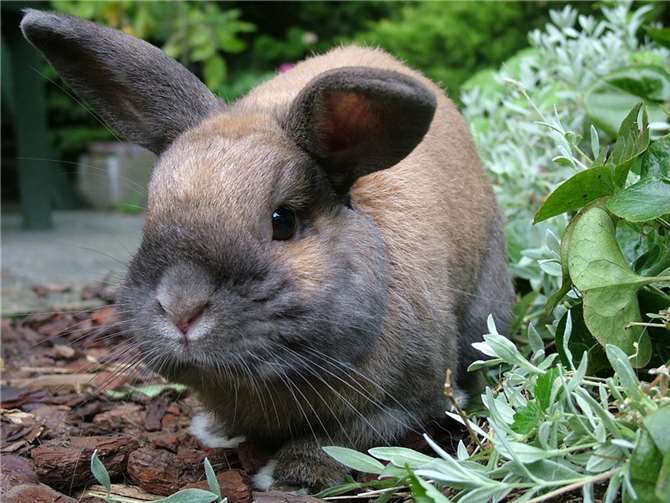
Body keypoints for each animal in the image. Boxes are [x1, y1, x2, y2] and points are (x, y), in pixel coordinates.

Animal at [21, 9, 514, 491]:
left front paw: (292, 475)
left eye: (283, 221)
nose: (181, 309)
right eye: (150, 212)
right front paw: (215, 431)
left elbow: (344, 436)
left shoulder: (410, 400)